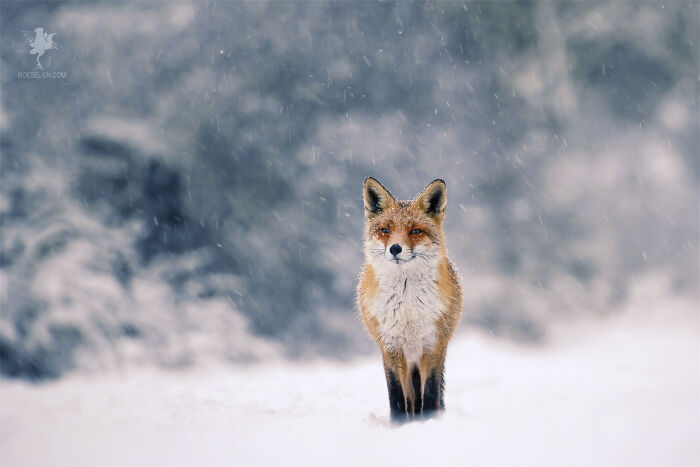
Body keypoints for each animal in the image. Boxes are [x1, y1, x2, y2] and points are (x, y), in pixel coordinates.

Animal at [357, 177, 463, 421]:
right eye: (385, 230)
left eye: (415, 231)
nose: (395, 248)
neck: (407, 307)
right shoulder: (390, 347)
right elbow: (396, 396)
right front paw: (399, 425)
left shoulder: (433, 345)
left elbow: (431, 394)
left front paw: (428, 422)